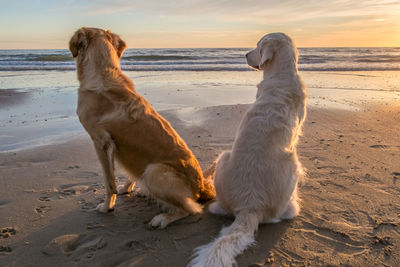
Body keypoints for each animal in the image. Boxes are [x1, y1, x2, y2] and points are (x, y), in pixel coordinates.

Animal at [68, 26, 216, 228]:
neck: (104, 71)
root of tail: (201, 187)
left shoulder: (101, 142)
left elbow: (109, 183)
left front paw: (107, 207)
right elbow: (129, 172)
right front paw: (127, 188)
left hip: (154, 171)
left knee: (192, 209)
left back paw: (162, 218)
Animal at [189, 32, 308, 266]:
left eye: (257, 46)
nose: (244, 54)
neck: (281, 73)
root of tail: (250, 206)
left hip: (224, 159)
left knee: (220, 209)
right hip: (292, 164)